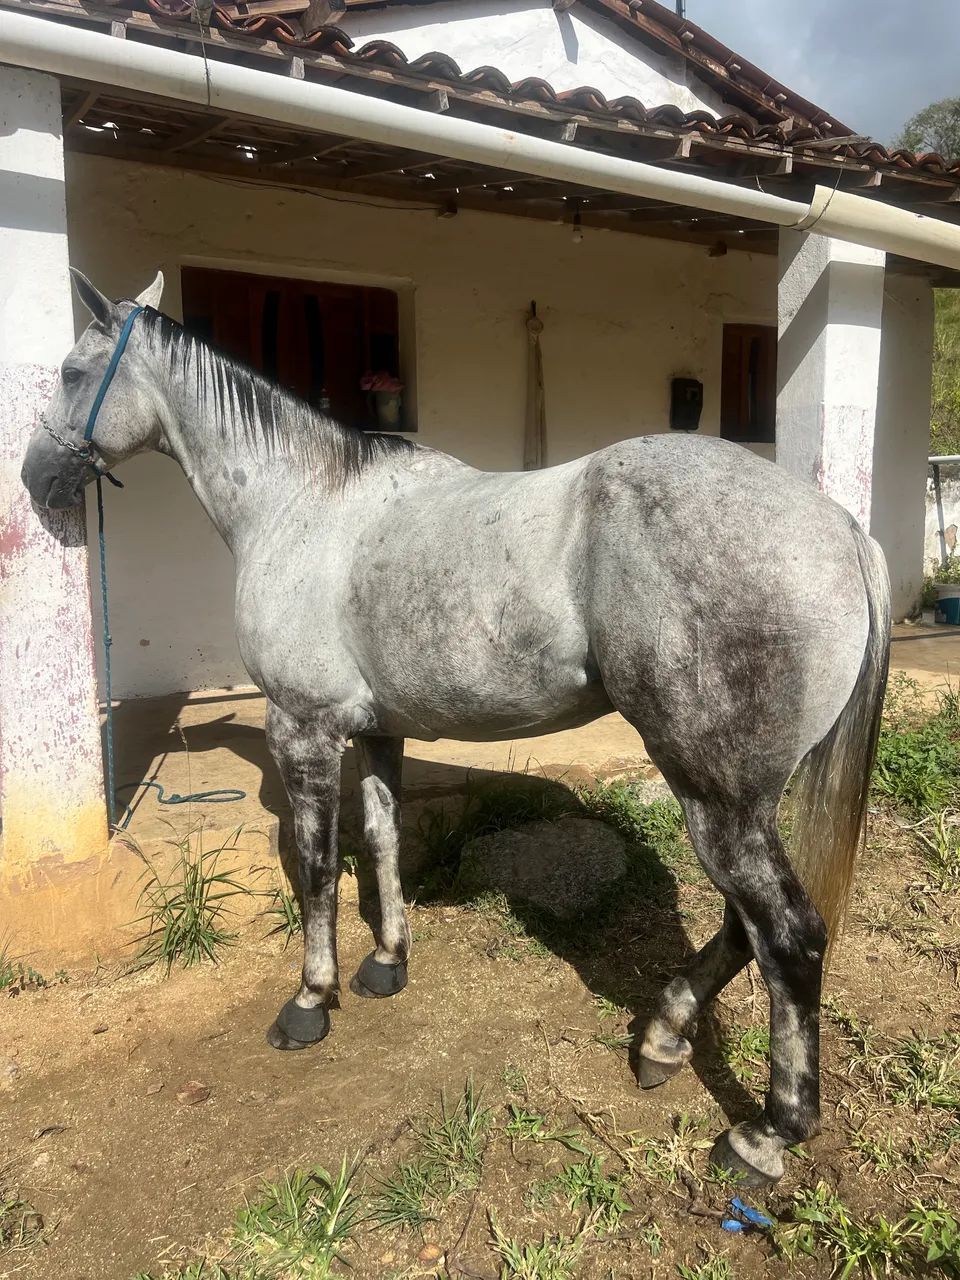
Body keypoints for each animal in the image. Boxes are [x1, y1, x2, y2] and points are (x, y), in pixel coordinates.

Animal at [21, 269, 890, 1188]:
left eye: (73, 373)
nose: (37, 481)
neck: (303, 505)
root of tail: (840, 530)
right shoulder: (376, 732)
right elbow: (383, 839)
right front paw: (386, 963)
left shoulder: (304, 729)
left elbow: (320, 868)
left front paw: (310, 1000)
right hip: (742, 799)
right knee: (743, 927)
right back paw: (662, 1038)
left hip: (714, 797)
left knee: (788, 937)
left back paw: (766, 1134)